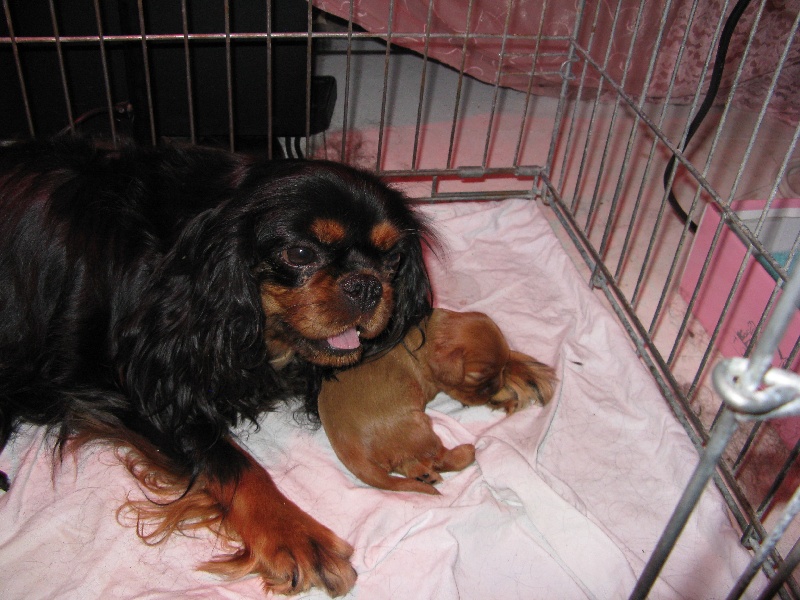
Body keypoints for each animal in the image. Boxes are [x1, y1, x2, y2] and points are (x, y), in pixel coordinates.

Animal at [318, 308, 556, 494]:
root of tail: (352, 453)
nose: (496, 388)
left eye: (501, 369)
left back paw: (424, 475)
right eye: (478, 376)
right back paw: (465, 453)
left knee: (408, 462)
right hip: (418, 428)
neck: (431, 334)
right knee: (438, 458)